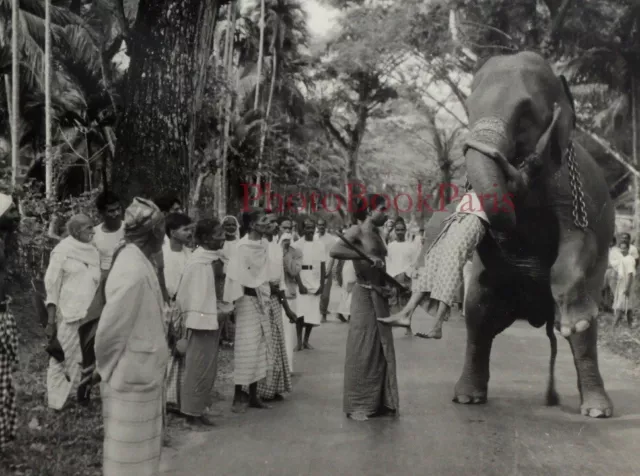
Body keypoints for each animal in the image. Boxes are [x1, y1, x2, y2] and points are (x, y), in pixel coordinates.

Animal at [444, 51, 616, 416]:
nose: (512, 167)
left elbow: (581, 240)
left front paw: (575, 322)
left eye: (525, 114)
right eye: (469, 109)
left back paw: (596, 407)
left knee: (585, 336)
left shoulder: (572, 187)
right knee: (478, 318)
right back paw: (467, 397)